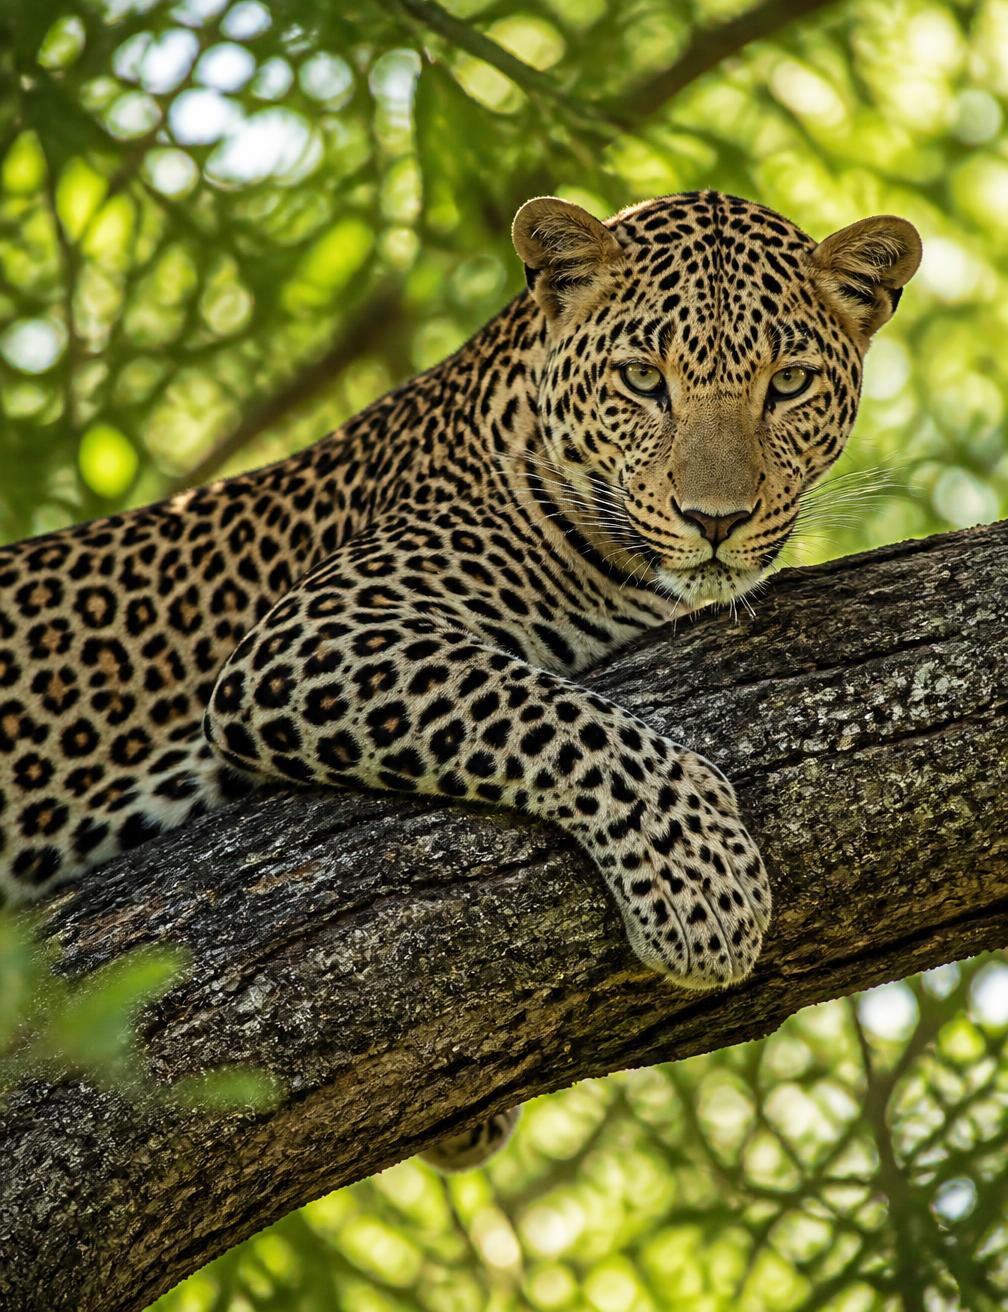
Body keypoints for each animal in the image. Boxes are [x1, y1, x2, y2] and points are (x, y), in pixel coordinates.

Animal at [0, 190, 920, 1169]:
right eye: (642, 379)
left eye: (788, 384)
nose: (716, 520)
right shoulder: (308, 635)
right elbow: (553, 714)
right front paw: (701, 884)